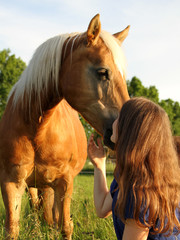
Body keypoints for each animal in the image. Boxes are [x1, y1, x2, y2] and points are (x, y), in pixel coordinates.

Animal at [0, 14, 130, 239]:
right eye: (103, 72)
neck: (37, 129)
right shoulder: (11, 183)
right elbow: (13, 228)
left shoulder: (64, 181)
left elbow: (65, 226)